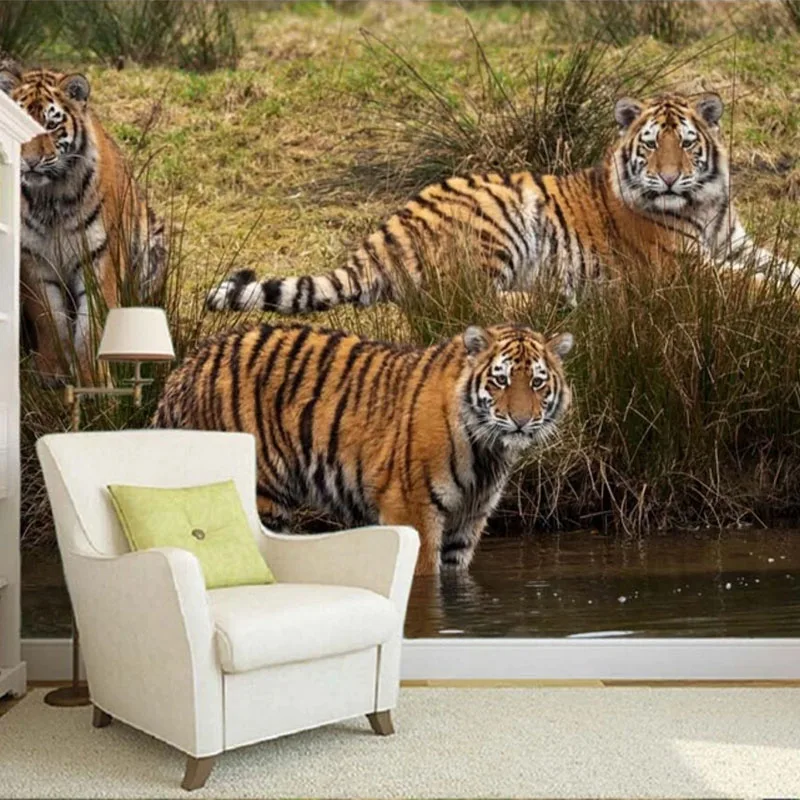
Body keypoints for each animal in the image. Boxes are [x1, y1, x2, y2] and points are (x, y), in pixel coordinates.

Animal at [0, 62, 167, 385]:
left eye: (51, 126)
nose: (30, 161)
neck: (49, 197)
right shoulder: (35, 261)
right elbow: (49, 318)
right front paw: (52, 371)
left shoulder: (99, 259)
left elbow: (93, 325)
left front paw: (93, 378)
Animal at [153, 322, 574, 575]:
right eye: (501, 380)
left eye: (537, 383)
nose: (520, 421)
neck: (487, 452)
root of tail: (186, 367)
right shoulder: (412, 509)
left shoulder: (467, 522)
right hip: (260, 497)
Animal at [206, 92, 797, 315]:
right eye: (651, 145)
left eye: (688, 144)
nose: (671, 179)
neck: (704, 205)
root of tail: (384, 230)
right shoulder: (683, 269)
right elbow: (750, 284)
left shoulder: (736, 244)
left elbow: (782, 266)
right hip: (502, 220)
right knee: (461, 300)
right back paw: (552, 297)